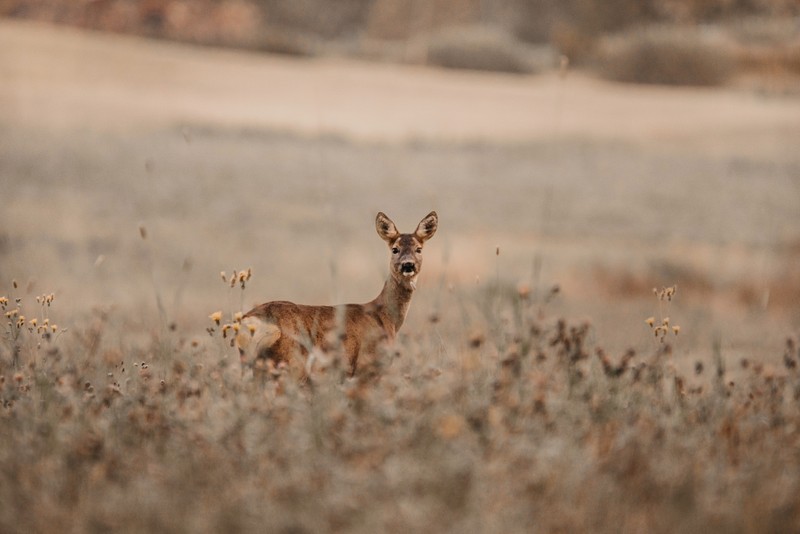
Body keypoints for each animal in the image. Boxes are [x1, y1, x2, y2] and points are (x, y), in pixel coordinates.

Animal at [236, 210, 438, 382]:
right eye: (395, 249)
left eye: (419, 249)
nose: (408, 265)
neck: (385, 317)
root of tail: (250, 322)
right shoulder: (366, 367)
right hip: (289, 365)